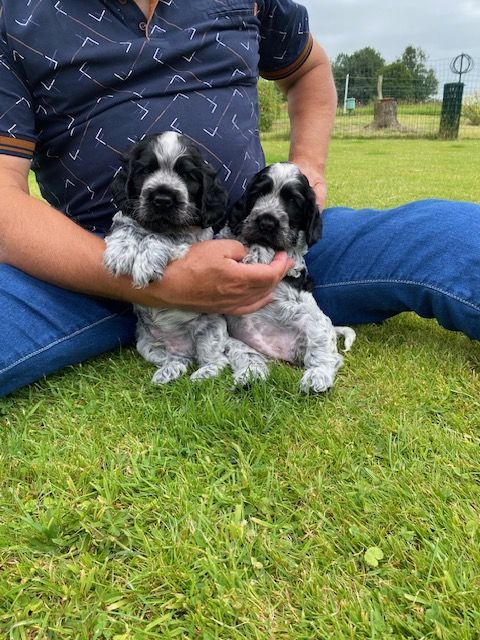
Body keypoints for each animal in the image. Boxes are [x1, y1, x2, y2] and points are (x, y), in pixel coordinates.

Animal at [104, 131, 232, 384]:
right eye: (144, 170)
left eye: (188, 175)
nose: (162, 199)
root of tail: (183, 348)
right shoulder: (129, 216)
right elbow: (125, 225)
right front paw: (120, 250)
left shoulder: (191, 240)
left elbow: (164, 238)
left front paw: (146, 259)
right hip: (147, 344)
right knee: (178, 360)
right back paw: (169, 370)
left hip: (211, 330)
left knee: (217, 360)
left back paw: (203, 373)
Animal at [223, 162, 354, 392]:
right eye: (258, 193)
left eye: (293, 201)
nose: (266, 222)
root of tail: (278, 354)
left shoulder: (293, 257)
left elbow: (287, 250)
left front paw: (259, 253)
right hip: (234, 342)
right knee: (249, 357)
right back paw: (250, 376)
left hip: (316, 324)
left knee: (328, 357)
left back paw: (317, 378)